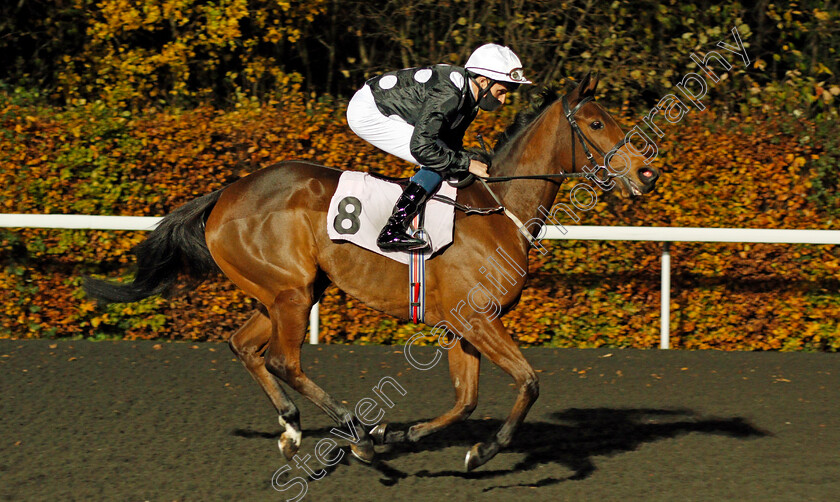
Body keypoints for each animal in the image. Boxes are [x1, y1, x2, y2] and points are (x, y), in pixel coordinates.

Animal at [87, 71, 664, 470]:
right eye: (596, 123)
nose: (647, 173)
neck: (499, 209)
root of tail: (226, 193)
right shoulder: (478, 319)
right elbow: (528, 382)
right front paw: (482, 451)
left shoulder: (465, 325)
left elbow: (467, 400)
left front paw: (405, 434)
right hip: (292, 293)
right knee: (282, 360)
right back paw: (356, 435)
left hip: (284, 291)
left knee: (245, 347)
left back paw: (295, 429)